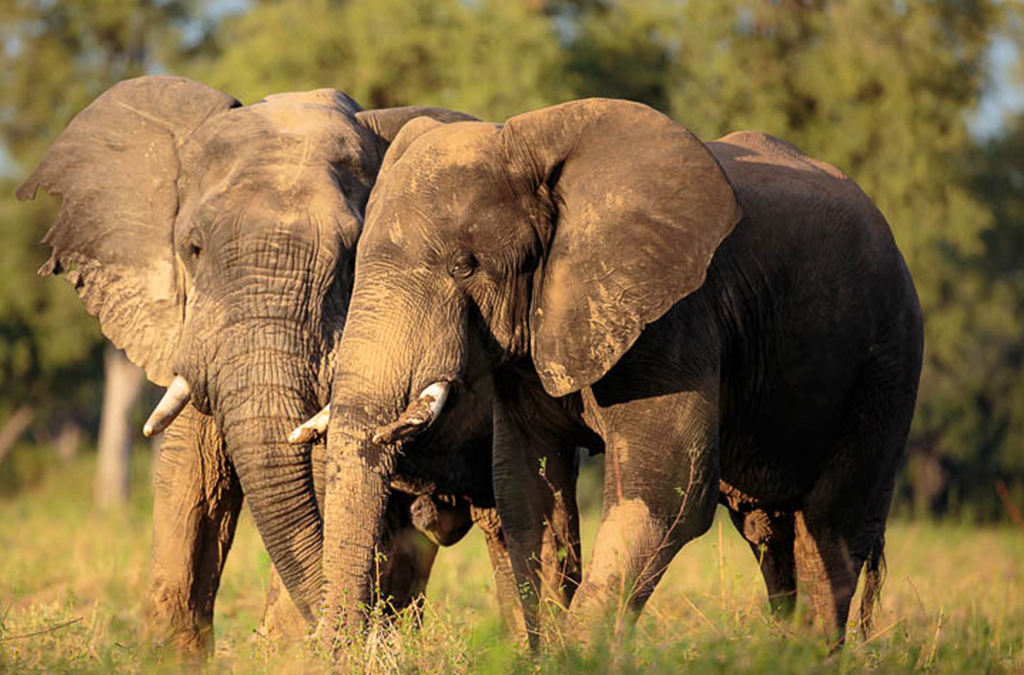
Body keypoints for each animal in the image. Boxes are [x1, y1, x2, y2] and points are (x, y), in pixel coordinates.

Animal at [18, 75, 513, 657]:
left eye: (351, 255)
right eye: (193, 248)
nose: (348, 634)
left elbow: (320, 473)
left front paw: (295, 649)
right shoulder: (192, 324)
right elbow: (190, 473)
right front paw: (168, 658)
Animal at [312, 98, 923, 646]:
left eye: (466, 267)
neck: (525, 142)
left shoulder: (676, 316)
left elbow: (669, 489)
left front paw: (576, 658)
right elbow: (528, 495)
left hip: (889, 362)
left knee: (832, 528)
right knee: (769, 531)